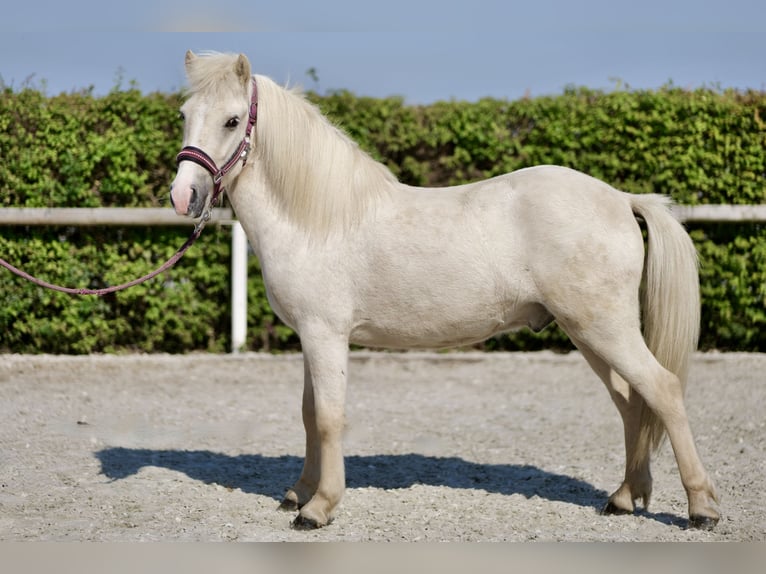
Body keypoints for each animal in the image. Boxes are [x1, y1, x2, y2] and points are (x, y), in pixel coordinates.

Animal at [168, 51, 720, 532]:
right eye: (185, 115)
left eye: (233, 121)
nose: (182, 196)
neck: (317, 219)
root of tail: (622, 198)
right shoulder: (310, 336)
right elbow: (308, 415)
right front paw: (298, 493)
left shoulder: (326, 335)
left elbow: (328, 418)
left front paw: (319, 508)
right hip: (587, 332)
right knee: (631, 402)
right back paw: (624, 498)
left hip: (605, 328)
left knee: (663, 390)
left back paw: (701, 508)